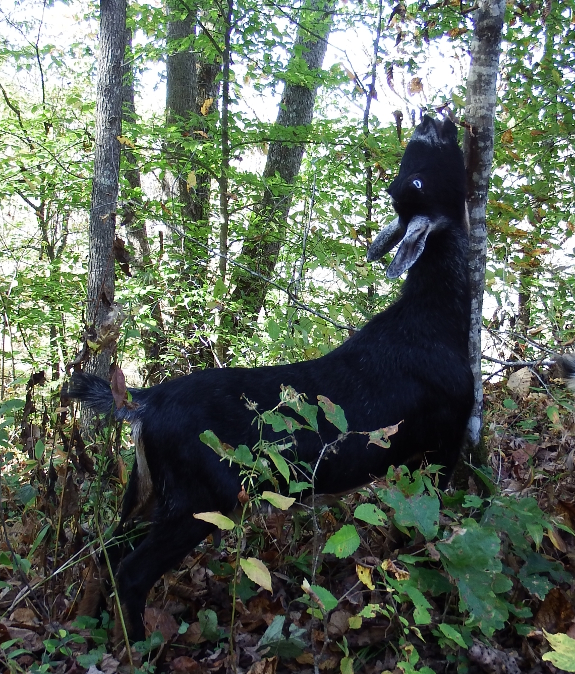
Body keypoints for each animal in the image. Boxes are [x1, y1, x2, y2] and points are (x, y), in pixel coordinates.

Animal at [68, 115, 472, 640]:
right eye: (413, 179)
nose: (431, 118)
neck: (439, 318)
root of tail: (143, 402)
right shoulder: (447, 433)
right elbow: (432, 518)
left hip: (146, 486)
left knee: (108, 548)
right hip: (200, 495)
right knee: (132, 570)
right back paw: (141, 642)